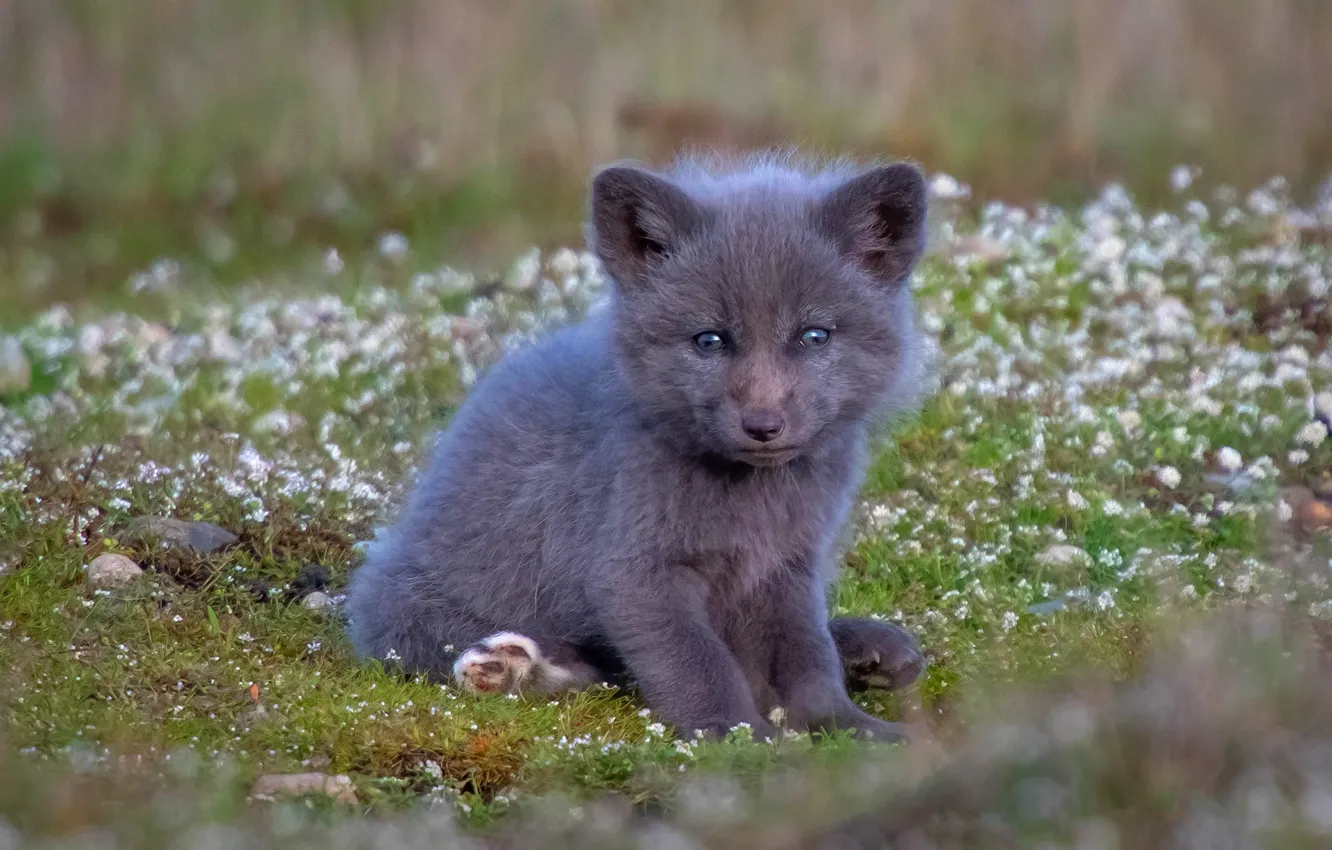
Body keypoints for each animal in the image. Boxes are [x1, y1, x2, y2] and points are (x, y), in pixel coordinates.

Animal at [345, 152, 932, 742]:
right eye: (709, 340)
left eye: (815, 336)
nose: (763, 425)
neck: (753, 506)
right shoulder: (634, 573)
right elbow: (697, 661)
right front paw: (737, 734)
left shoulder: (788, 567)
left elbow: (809, 659)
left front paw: (849, 730)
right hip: (419, 608)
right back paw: (510, 665)